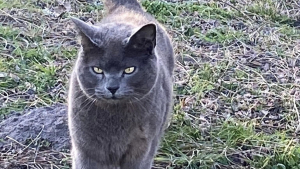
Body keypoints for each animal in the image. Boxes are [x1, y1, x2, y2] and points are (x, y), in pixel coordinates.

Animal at [68, 0, 175, 168]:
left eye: (129, 69)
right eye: (97, 69)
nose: (112, 87)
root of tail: (128, 8)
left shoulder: (142, 151)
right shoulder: (85, 149)